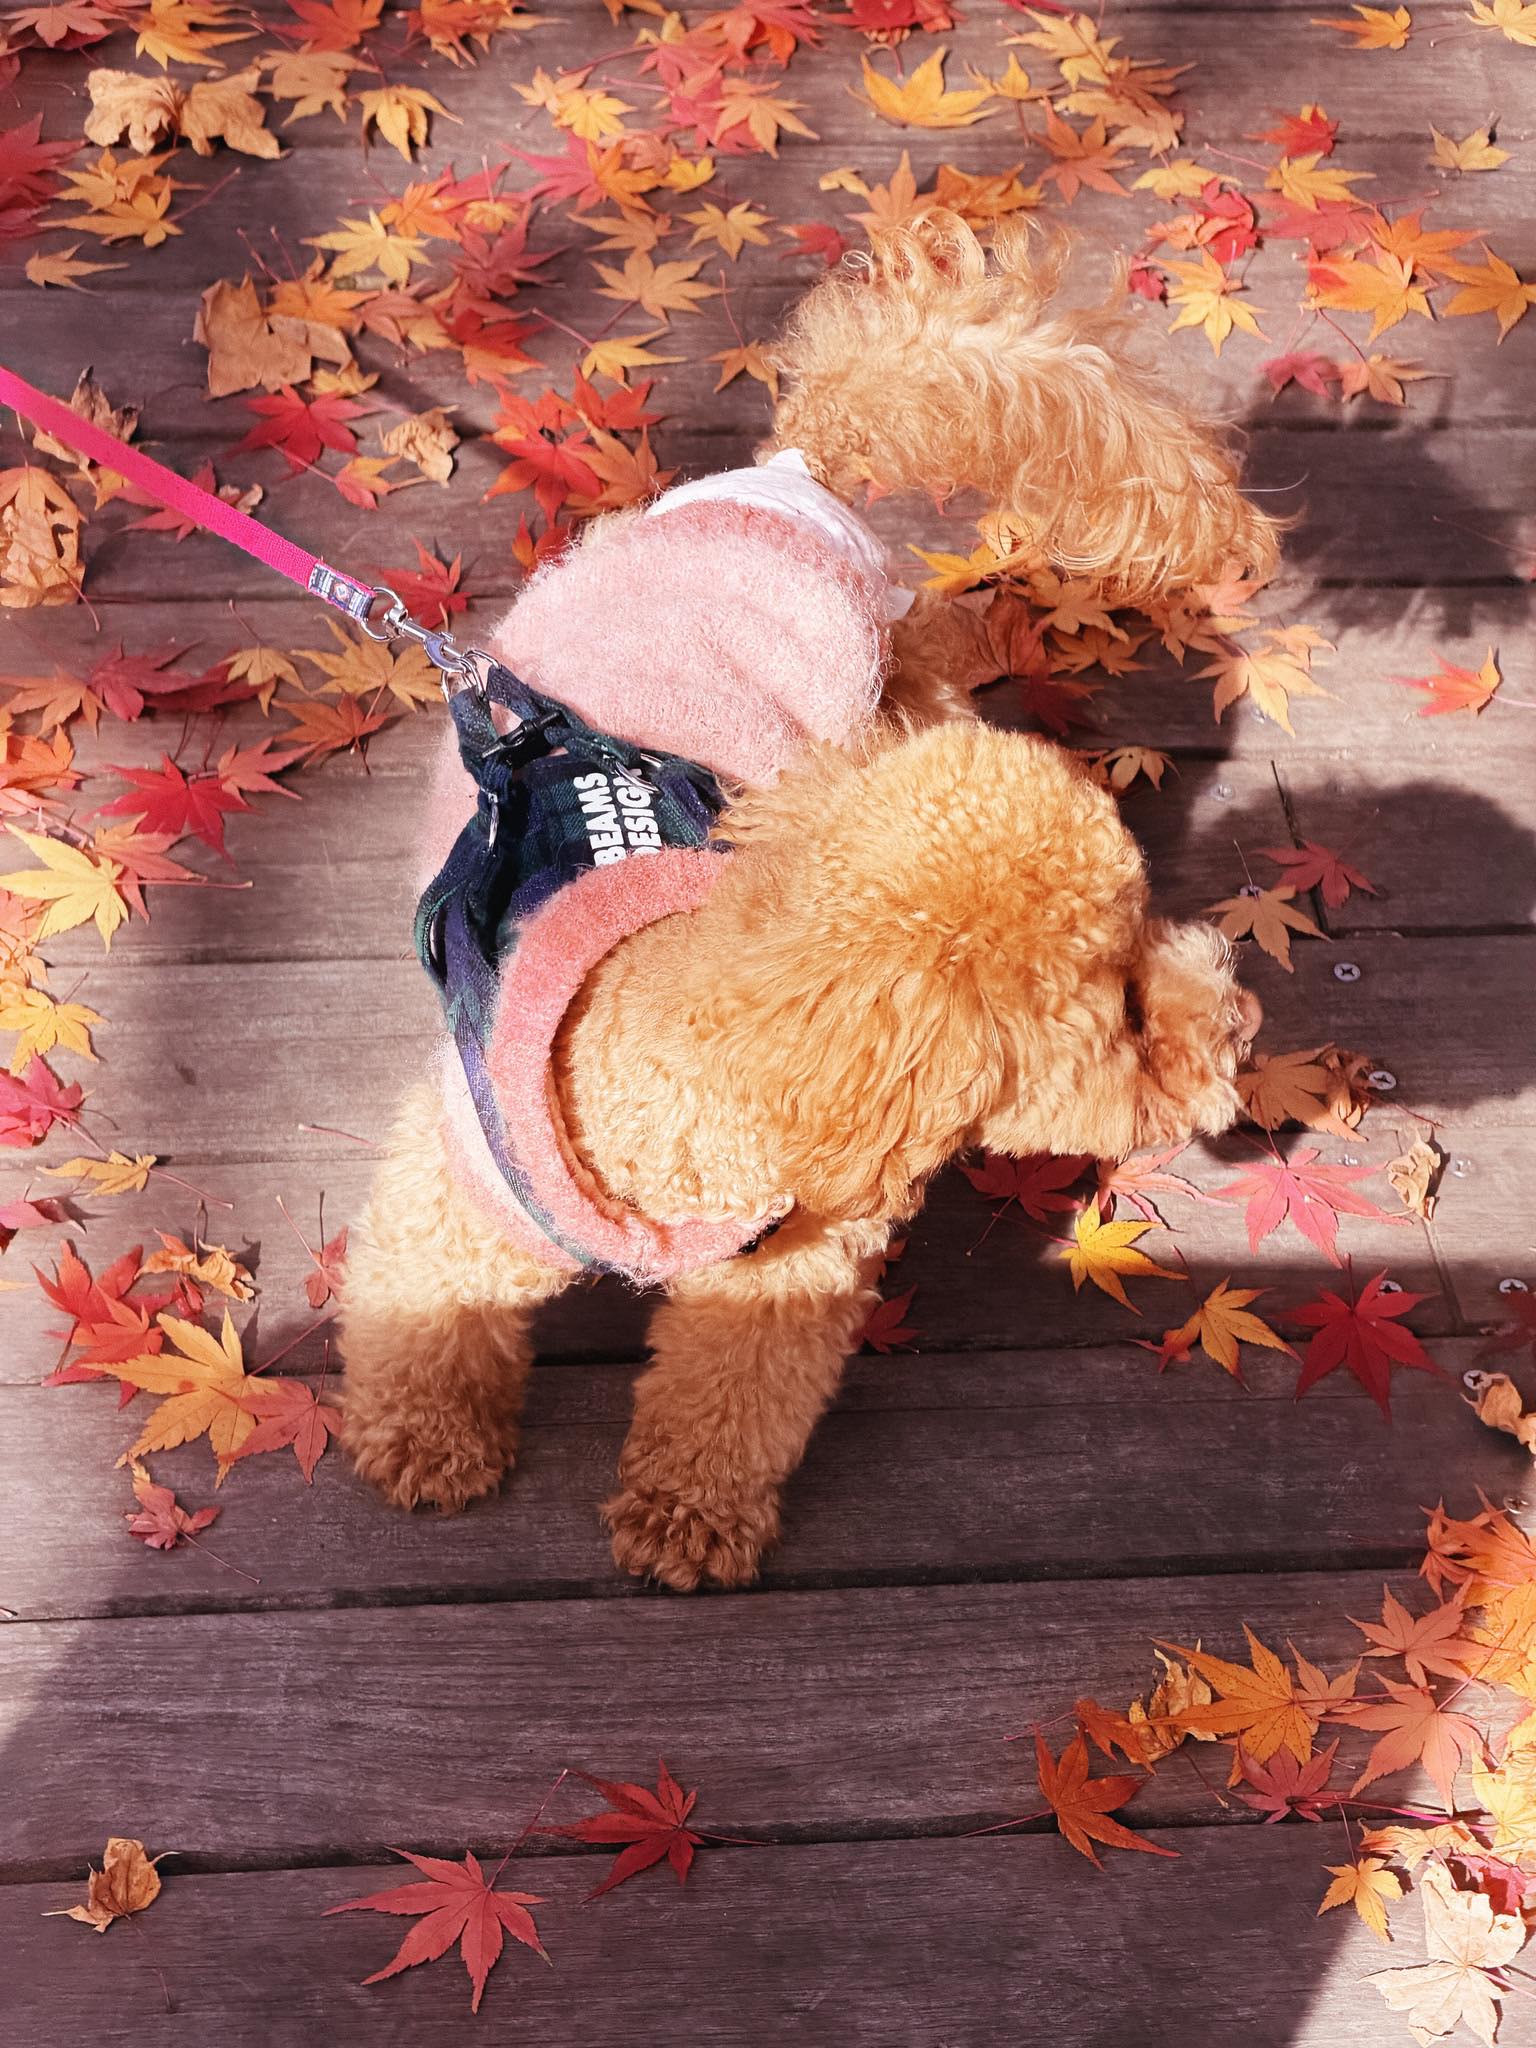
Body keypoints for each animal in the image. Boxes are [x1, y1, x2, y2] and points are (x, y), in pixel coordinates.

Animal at [338, 216, 1272, 1590]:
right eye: (1123, 1016)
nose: (1242, 1022)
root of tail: (789, 473)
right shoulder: (457, 1185)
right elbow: (423, 1309)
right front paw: (427, 1437)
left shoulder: (791, 1265)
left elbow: (732, 1398)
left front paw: (687, 1515)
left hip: (887, 681)